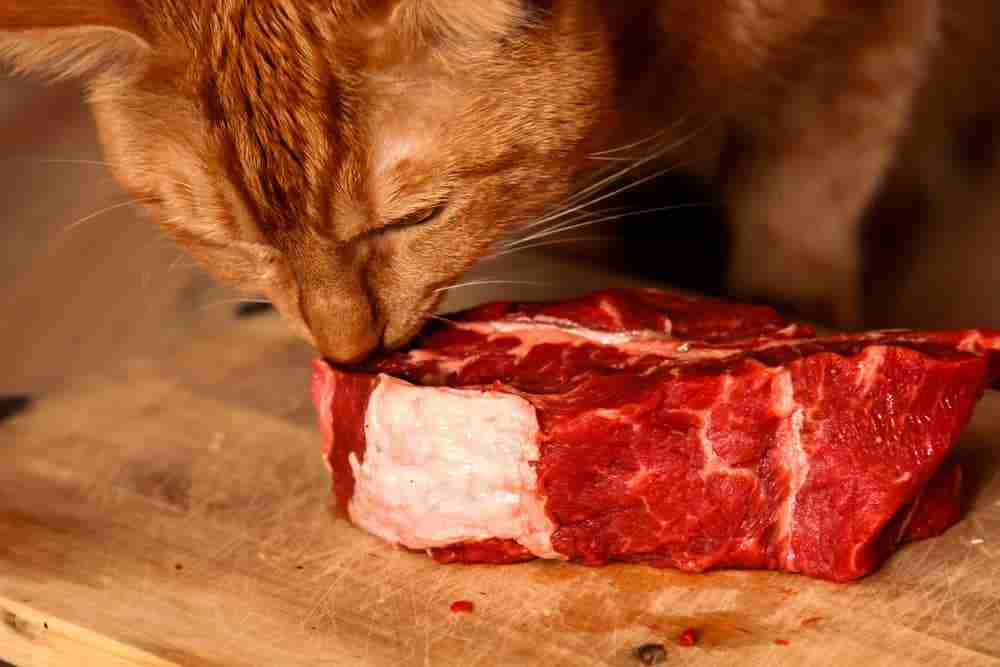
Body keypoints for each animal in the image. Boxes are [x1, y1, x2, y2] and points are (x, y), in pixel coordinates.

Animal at [1, 2, 1000, 362]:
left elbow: (807, 203)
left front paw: (797, 322)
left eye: (417, 218)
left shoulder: (866, 45)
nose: (347, 353)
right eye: (233, 244)